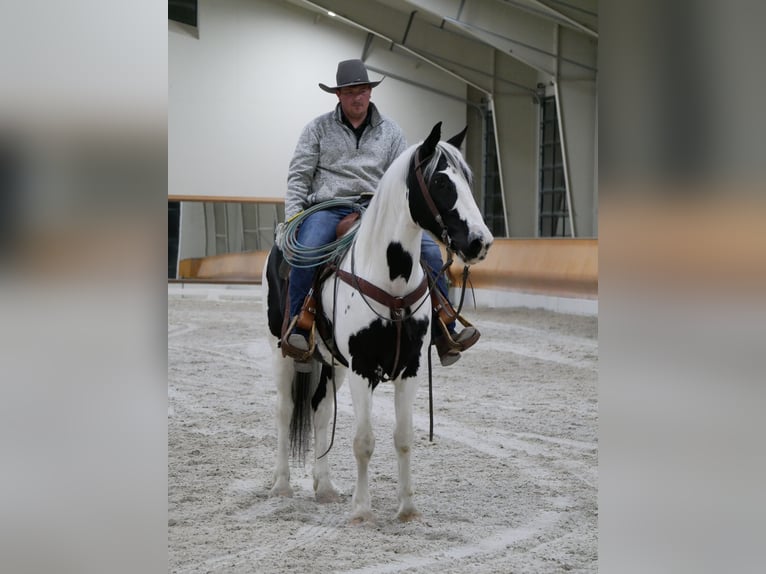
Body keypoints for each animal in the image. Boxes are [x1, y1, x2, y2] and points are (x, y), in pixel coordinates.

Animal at [262, 122, 492, 528]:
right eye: (441, 181)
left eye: (467, 179)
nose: (481, 242)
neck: (387, 274)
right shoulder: (362, 367)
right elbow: (363, 441)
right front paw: (362, 510)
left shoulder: (409, 368)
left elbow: (403, 437)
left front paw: (407, 508)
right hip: (284, 350)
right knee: (285, 410)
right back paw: (282, 486)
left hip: (331, 363)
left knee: (321, 410)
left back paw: (325, 488)